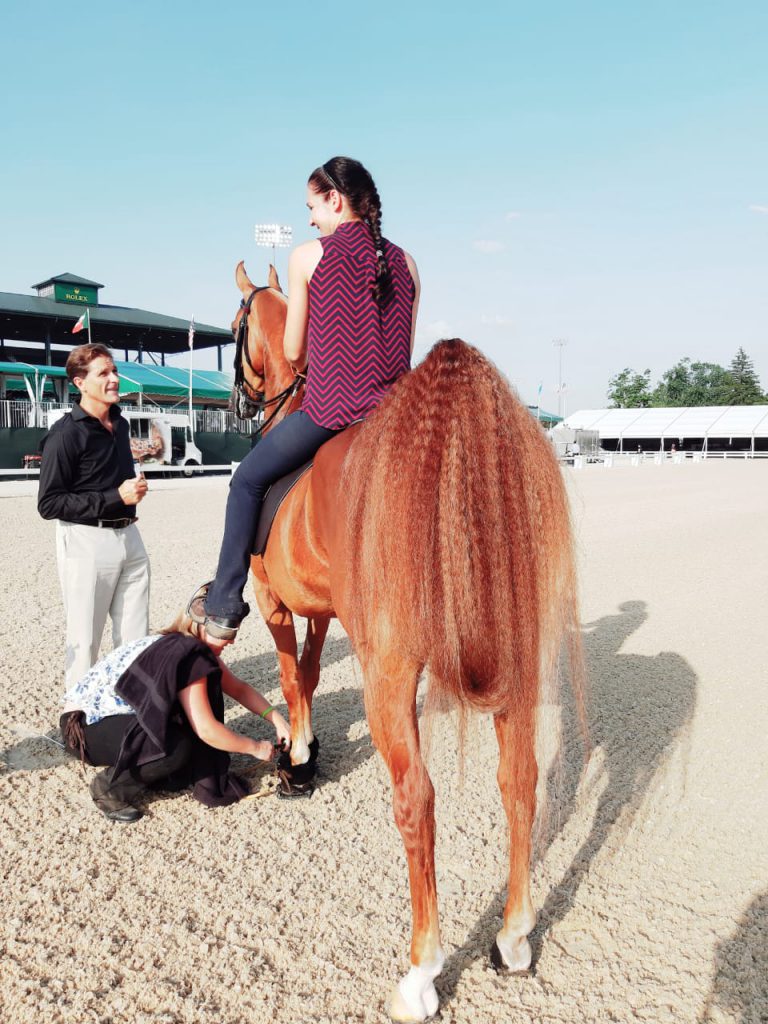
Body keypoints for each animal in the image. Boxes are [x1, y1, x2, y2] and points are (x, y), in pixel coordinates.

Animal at [231, 260, 585, 1019]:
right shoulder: (325, 611)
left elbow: (288, 670)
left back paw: (422, 972)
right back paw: (513, 939)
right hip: (512, 658)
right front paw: (307, 751)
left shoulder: (273, 599)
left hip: (391, 672)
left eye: (235, 327)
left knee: (416, 798)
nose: (244, 402)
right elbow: (308, 670)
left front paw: (295, 757)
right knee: (520, 780)